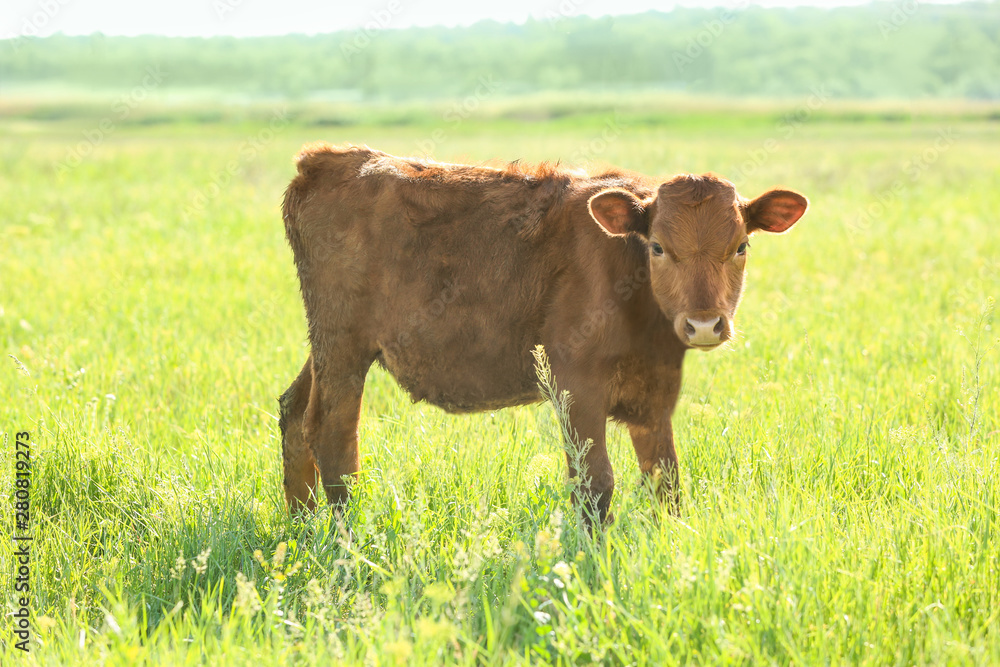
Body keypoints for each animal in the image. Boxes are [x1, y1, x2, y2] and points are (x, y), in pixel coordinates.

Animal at [278, 144, 808, 524]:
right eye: (658, 247)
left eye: (740, 247)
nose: (702, 324)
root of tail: (325, 158)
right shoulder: (575, 385)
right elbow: (596, 484)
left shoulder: (655, 395)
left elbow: (667, 483)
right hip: (343, 346)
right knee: (332, 434)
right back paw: (346, 540)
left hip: (327, 347)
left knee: (293, 411)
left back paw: (303, 525)